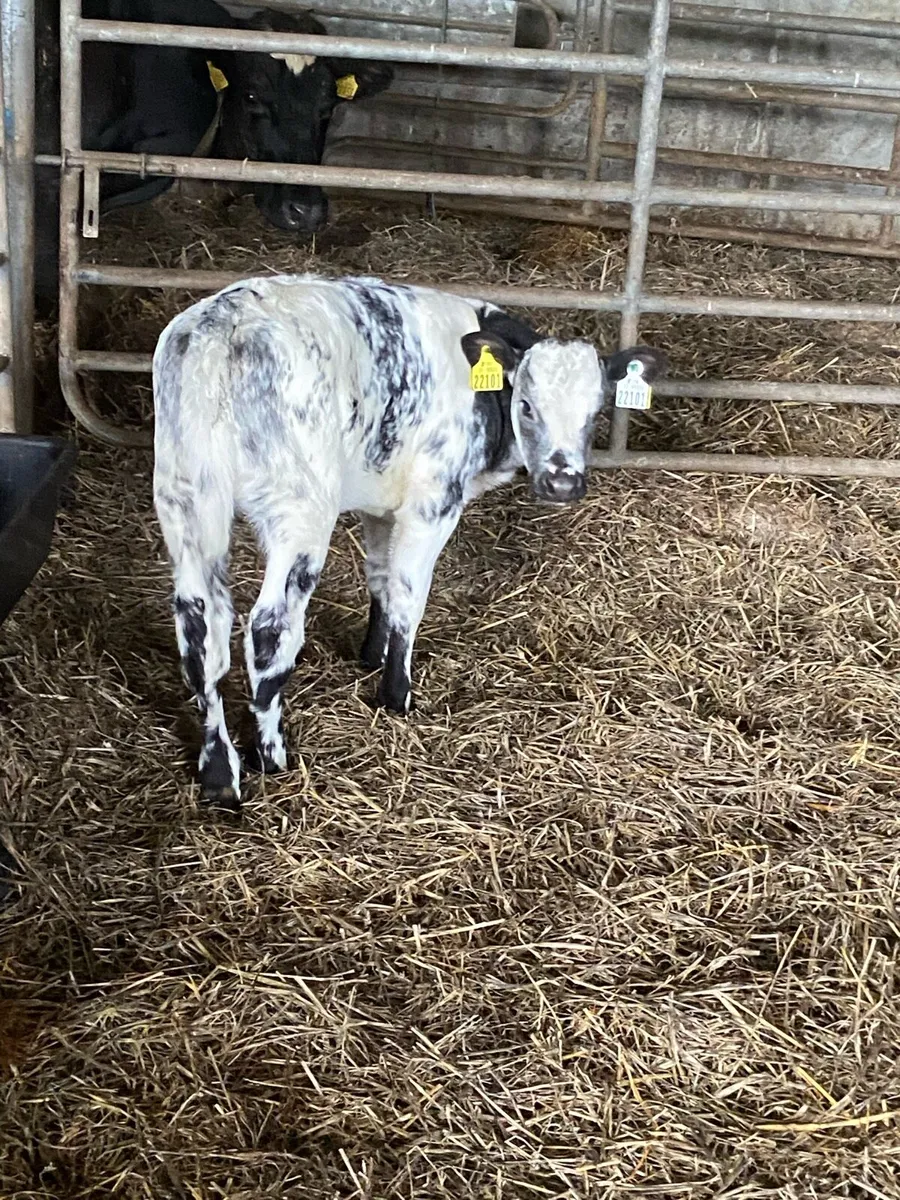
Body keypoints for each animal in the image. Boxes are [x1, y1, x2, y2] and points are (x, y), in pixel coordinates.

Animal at [152, 273, 667, 809]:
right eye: (527, 406)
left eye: (596, 412)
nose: (562, 483)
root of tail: (223, 327)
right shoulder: (432, 502)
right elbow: (407, 594)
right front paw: (395, 694)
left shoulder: (379, 502)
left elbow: (379, 577)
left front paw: (371, 654)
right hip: (298, 511)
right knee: (269, 628)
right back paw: (269, 753)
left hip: (185, 500)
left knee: (199, 629)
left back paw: (218, 770)